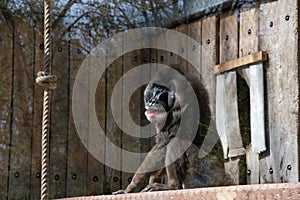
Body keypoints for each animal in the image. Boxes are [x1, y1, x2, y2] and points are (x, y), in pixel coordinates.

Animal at [111, 63, 231, 194]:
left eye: (163, 92)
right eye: (155, 90)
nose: (152, 101)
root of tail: (225, 179)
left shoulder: (183, 93)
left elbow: (163, 144)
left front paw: (131, 187)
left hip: (206, 175)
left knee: (176, 142)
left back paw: (172, 186)